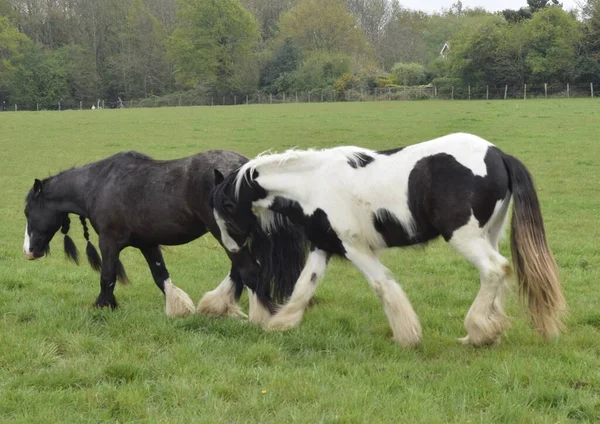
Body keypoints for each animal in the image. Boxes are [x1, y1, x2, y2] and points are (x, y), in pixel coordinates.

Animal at [22, 149, 310, 318]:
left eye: (27, 211)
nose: (29, 251)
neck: (99, 184)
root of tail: (245, 170)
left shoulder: (109, 242)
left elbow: (107, 276)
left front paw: (103, 305)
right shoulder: (148, 244)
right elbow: (160, 276)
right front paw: (179, 308)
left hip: (226, 234)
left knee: (249, 270)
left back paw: (263, 317)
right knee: (240, 271)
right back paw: (218, 305)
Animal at [211, 133, 568, 348]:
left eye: (226, 208)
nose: (232, 250)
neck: (313, 185)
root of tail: (498, 155)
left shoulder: (355, 248)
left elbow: (383, 285)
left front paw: (407, 336)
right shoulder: (323, 247)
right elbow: (303, 287)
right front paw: (279, 326)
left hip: (464, 237)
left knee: (495, 270)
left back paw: (478, 332)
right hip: (488, 235)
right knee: (497, 275)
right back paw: (489, 332)